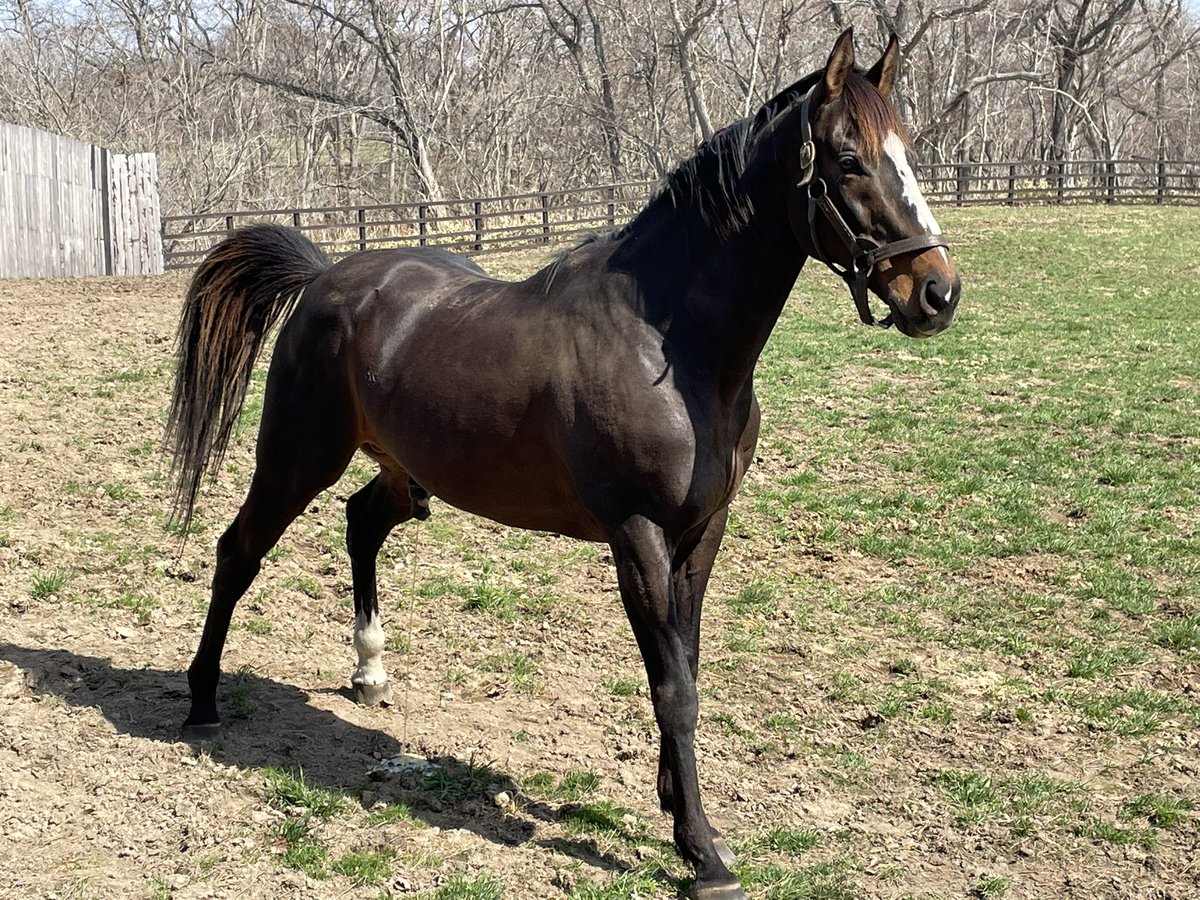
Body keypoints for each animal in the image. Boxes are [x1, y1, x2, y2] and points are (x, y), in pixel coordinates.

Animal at [166, 30, 955, 900]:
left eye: (908, 152)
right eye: (848, 159)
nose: (938, 293)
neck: (668, 345)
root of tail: (324, 275)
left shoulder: (702, 534)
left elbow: (686, 667)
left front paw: (680, 809)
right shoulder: (637, 535)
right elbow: (673, 686)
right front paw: (703, 853)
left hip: (407, 474)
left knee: (362, 524)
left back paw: (369, 672)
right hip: (297, 458)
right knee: (238, 551)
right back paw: (202, 700)